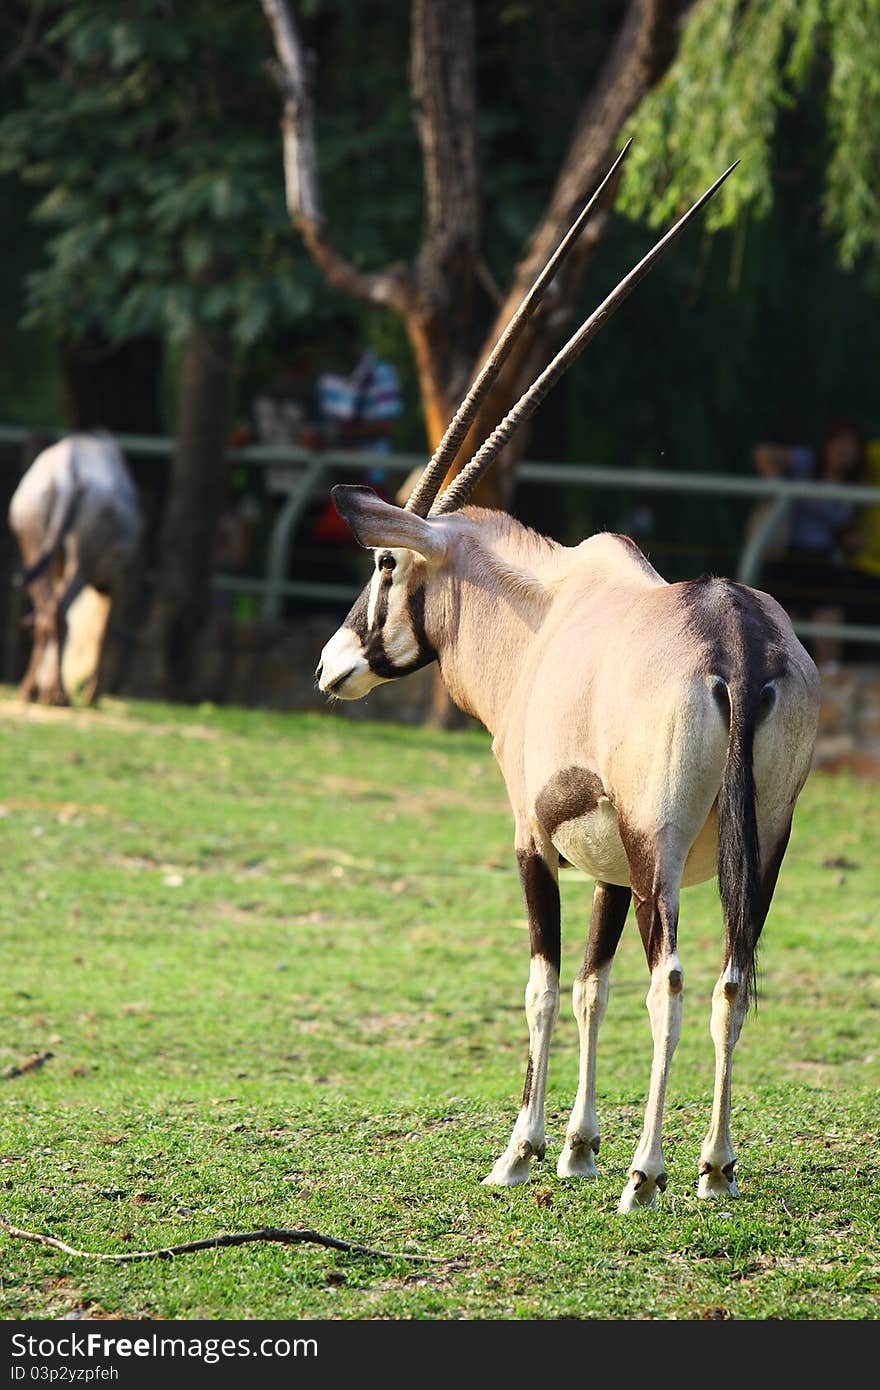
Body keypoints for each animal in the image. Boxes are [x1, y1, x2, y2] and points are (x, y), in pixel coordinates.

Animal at [8, 430, 142, 706]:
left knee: (47, 613)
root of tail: (65, 478)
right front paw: (92, 695)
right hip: (83, 556)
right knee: (59, 613)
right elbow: (103, 632)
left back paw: (30, 690)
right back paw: (60, 694)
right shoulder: (119, 577)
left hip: (33, 541)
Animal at [314, 152, 817, 1212]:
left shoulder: (535, 841)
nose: (333, 665)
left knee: (675, 981)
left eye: (383, 565)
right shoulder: (608, 864)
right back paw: (713, 1167)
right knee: (732, 978)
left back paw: (649, 1173)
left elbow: (546, 983)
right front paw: (578, 1144)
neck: (539, 616)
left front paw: (524, 1148)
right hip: (764, 843)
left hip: (661, 841)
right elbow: (593, 984)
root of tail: (739, 640)